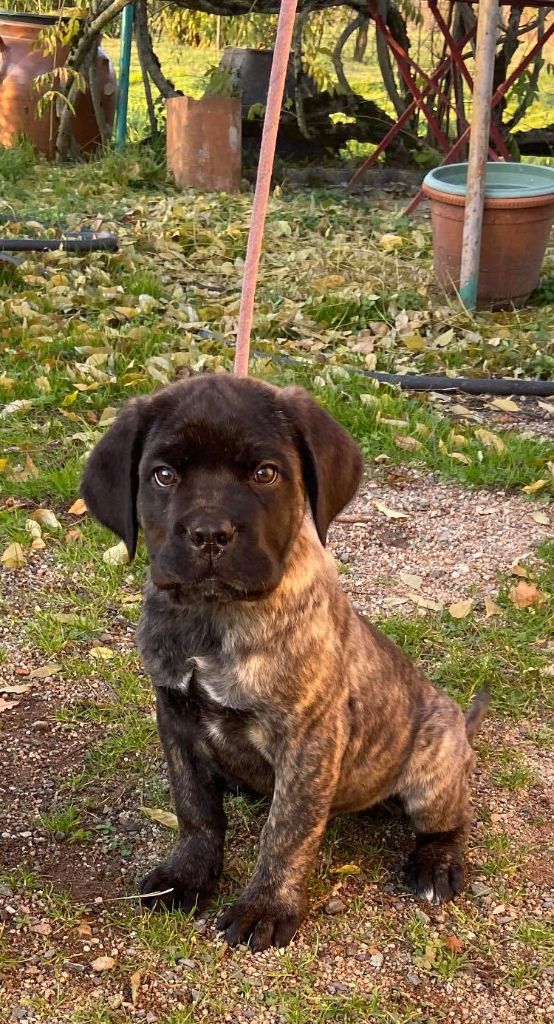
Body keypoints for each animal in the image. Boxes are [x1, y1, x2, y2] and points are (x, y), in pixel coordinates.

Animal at [81, 374, 488, 952]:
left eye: (265, 474)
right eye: (163, 475)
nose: (210, 534)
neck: (215, 617)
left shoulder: (307, 740)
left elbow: (286, 833)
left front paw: (265, 907)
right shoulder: (176, 718)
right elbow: (194, 808)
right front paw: (188, 875)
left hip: (432, 771)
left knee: (451, 818)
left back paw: (437, 864)